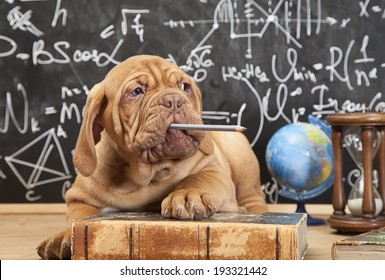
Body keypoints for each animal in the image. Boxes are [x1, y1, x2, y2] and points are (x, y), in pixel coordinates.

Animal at [36, 55, 268, 260]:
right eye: (136, 91)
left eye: (185, 86)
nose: (173, 100)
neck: (146, 173)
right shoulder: (78, 197)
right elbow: (80, 215)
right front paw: (64, 236)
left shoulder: (211, 169)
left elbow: (198, 178)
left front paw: (187, 195)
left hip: (239, 152)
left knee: (254, 198)